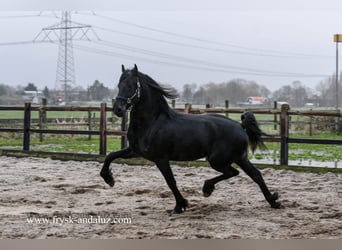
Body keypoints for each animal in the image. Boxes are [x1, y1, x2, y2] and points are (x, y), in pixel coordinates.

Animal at [99, 64, 280, 213]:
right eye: (119, 85)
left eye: (131, 86)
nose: (118, 109)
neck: (153, 122)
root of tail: (240, 126)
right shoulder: (135, 151)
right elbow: (110, 156)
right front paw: (109, 179)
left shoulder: (161, 158)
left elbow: (171, 181)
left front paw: (180, 206)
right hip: (239, 157)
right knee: (255, 175)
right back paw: (273, 201)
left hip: (218, 160)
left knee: (234, 172)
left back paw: (207, 188)